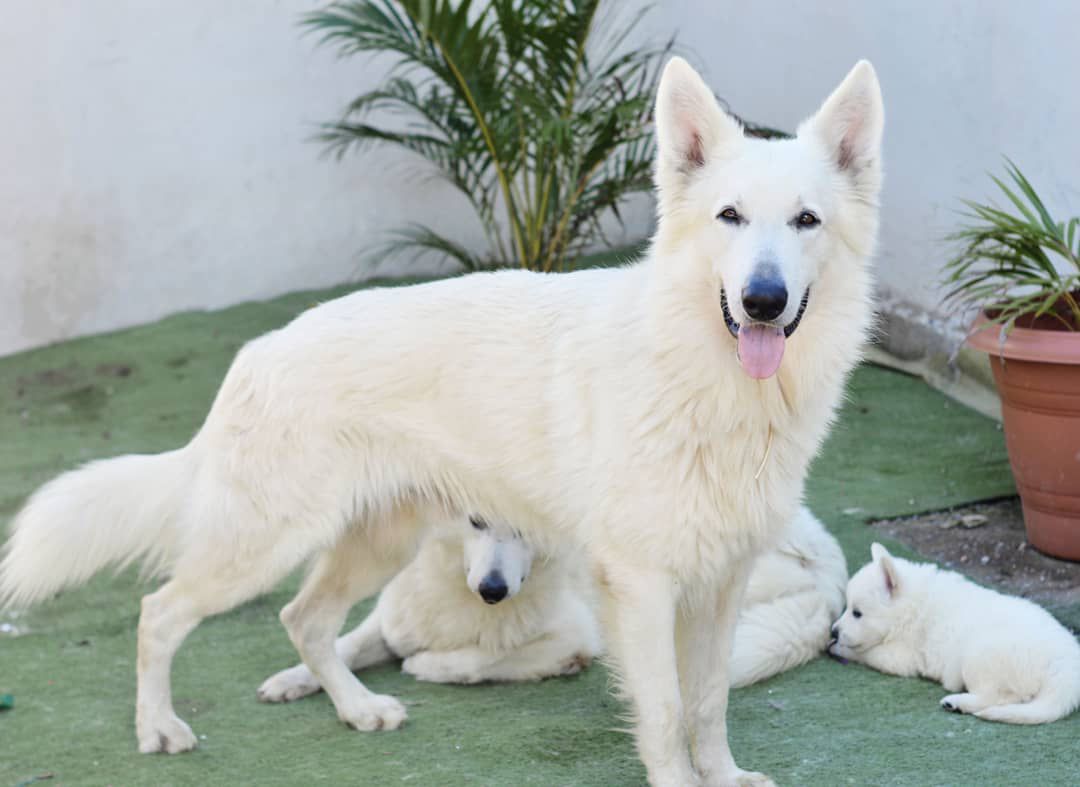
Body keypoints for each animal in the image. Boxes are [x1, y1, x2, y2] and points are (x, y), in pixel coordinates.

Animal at [257, 507, 846, 695]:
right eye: (476, 521)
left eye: (524, 528)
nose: (493, 590)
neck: (457, 591)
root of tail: (830, 559)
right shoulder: (392, 622)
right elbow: (343, 645)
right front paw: (292, 679)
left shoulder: (572, 636)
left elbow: (482, 658)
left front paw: (429, 667)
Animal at [825, 544, 1080, 721]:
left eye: (857, 613)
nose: (833, 632)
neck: (911, 606)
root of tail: (1066, 668)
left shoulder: (901, 657)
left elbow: (866, 652)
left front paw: (838, 647)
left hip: (979, 655)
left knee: (1000, 696)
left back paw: (957, 702)